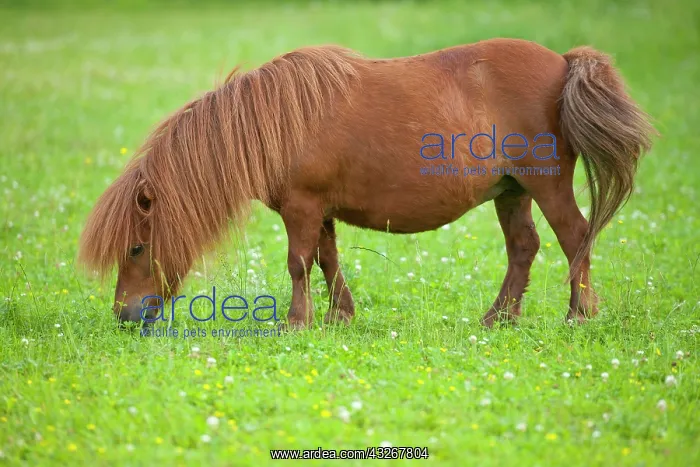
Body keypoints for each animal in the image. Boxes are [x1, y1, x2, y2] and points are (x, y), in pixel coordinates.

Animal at [78, 38, 656, 329]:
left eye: (136, 247)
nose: (124, 317)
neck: (274, 123)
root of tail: (563, 62)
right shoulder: (320, 211)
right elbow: (327, 260)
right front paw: (340, 315)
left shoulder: (302, 208)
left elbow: (298, 263)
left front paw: (296, 323)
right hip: (512, 192)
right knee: (524, 248)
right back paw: (498, 319)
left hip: (546, 185)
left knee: (574, 239)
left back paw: (578, 316)